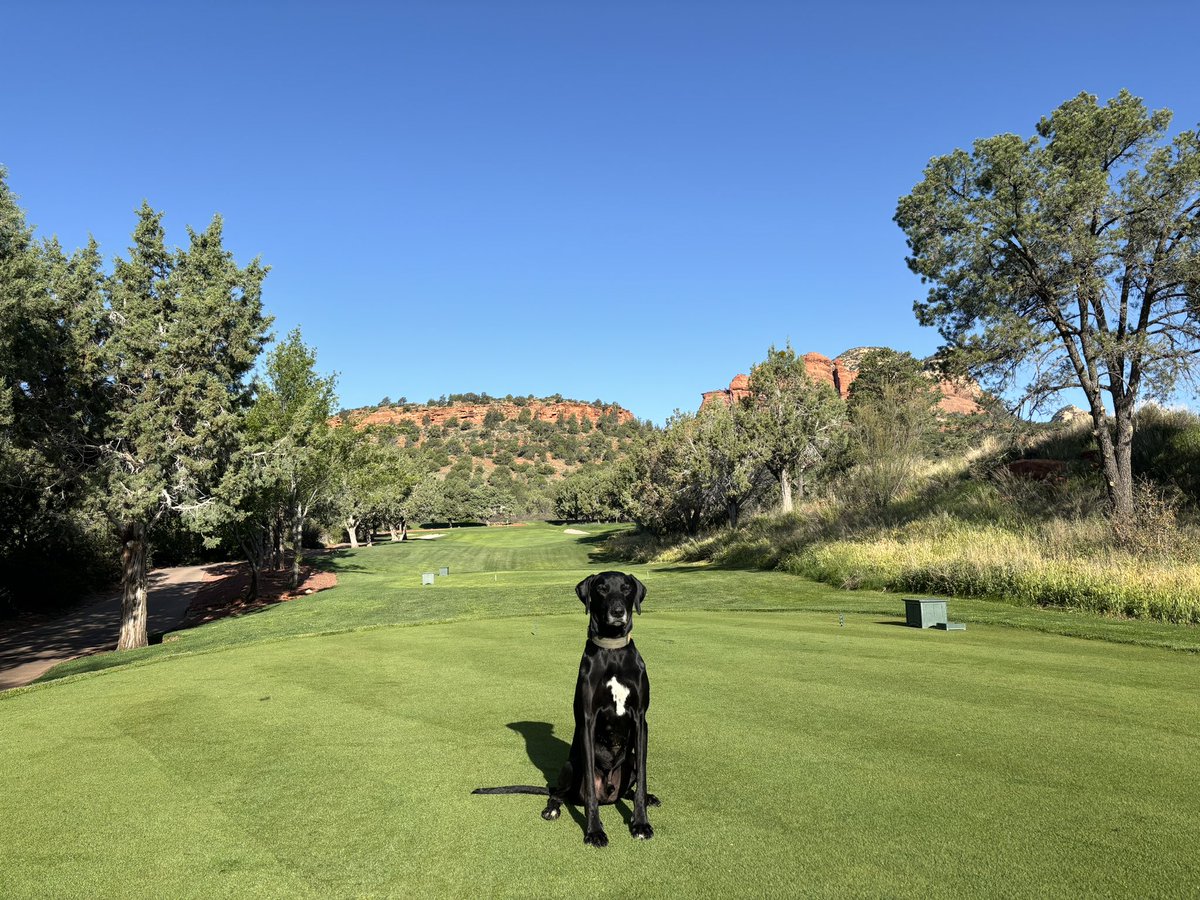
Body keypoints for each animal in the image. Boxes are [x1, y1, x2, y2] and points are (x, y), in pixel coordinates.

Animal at [470, 573, 657, 849]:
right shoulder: (588, 723)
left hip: (629, 761)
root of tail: (609, 795)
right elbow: (589, 791)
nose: (617, 611)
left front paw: (641, 823)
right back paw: (553, 808)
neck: (612, 652)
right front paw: (594, 831)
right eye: (601, 588)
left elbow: (642, 780)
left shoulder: (640, 721)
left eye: (626, 588)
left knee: (628, 789)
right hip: (571, 765)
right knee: (559, 792)